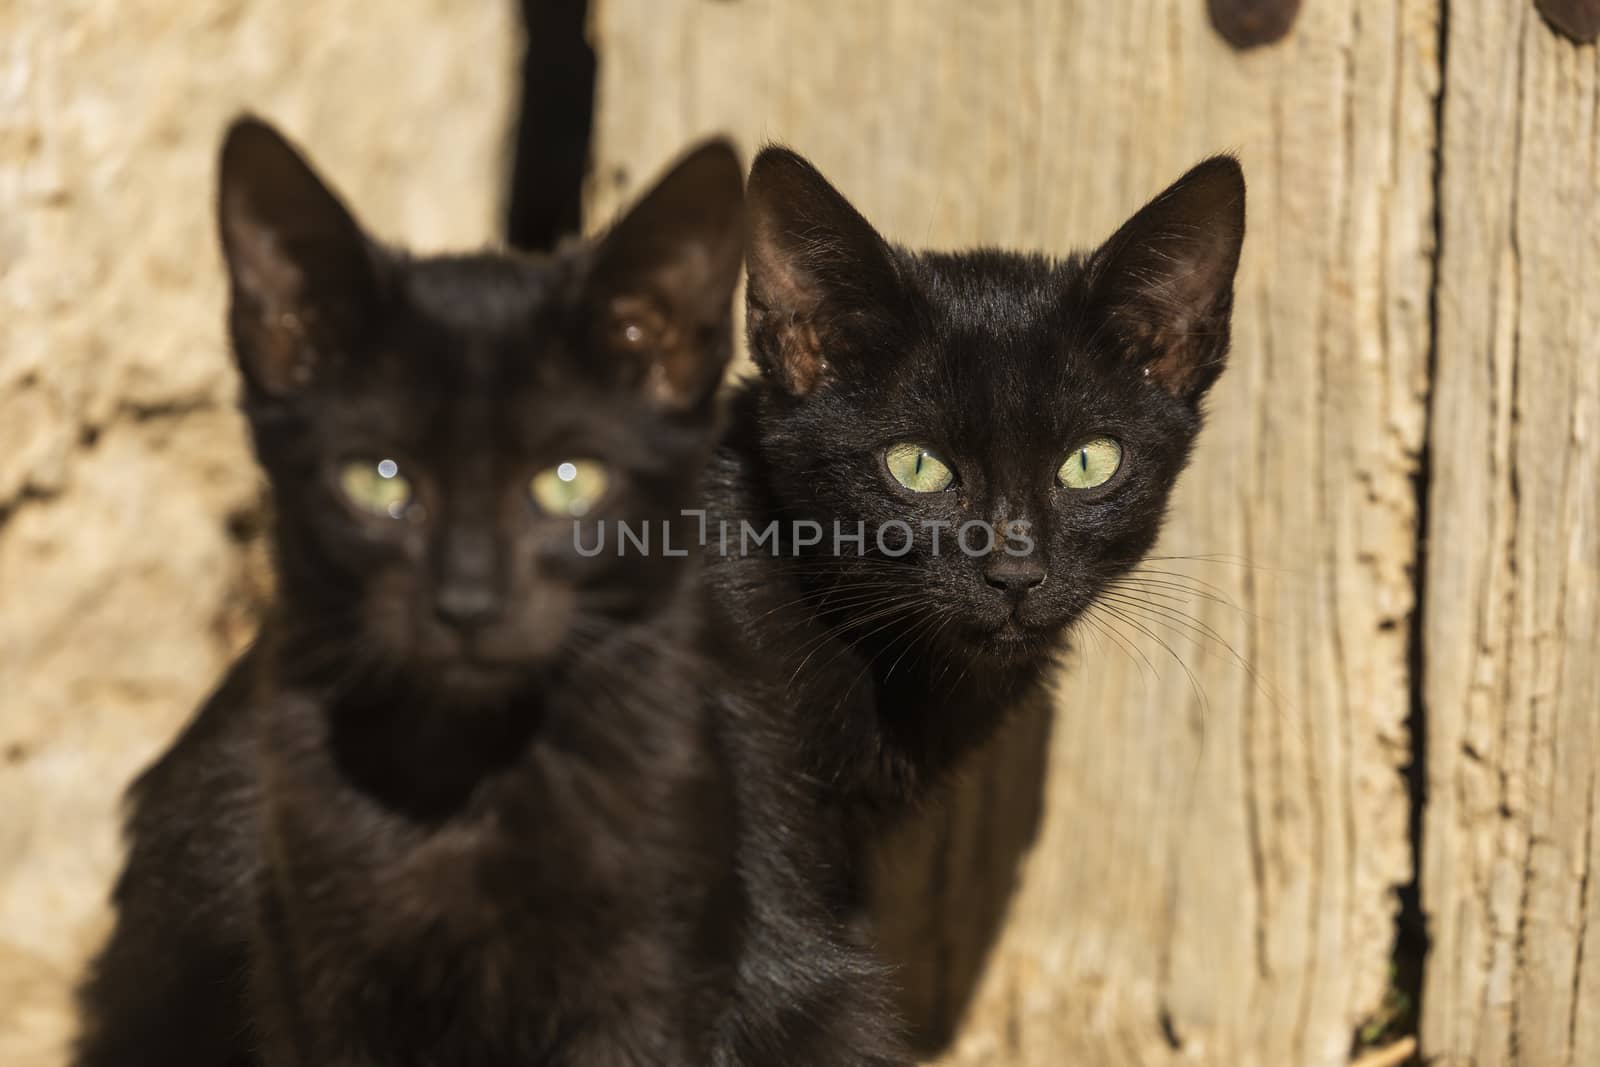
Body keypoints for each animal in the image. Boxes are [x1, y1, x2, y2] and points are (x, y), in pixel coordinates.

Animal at [75, 119, 908, 1067]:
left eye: (569, 480)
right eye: (378, 478)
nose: (467, 602)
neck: (469, 781)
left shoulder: (652, 979)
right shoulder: (315, 973)